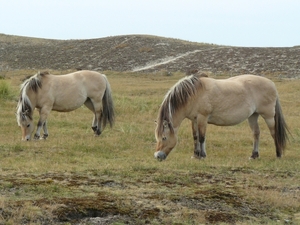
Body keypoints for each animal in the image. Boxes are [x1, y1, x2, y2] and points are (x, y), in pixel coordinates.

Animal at [155, 74, 288, 161]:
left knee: (274, 133)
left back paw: (278, 154)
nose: (157, 156)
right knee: (256, 133)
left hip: (268, 116)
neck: (194, 93)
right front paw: (195, 155)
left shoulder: (202, 118)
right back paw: (254, 155)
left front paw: (202, 156)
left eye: (164, 137)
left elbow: (202, 137)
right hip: (253, 116)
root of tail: (271, 83)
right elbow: (195, 137)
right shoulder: (194, 120)